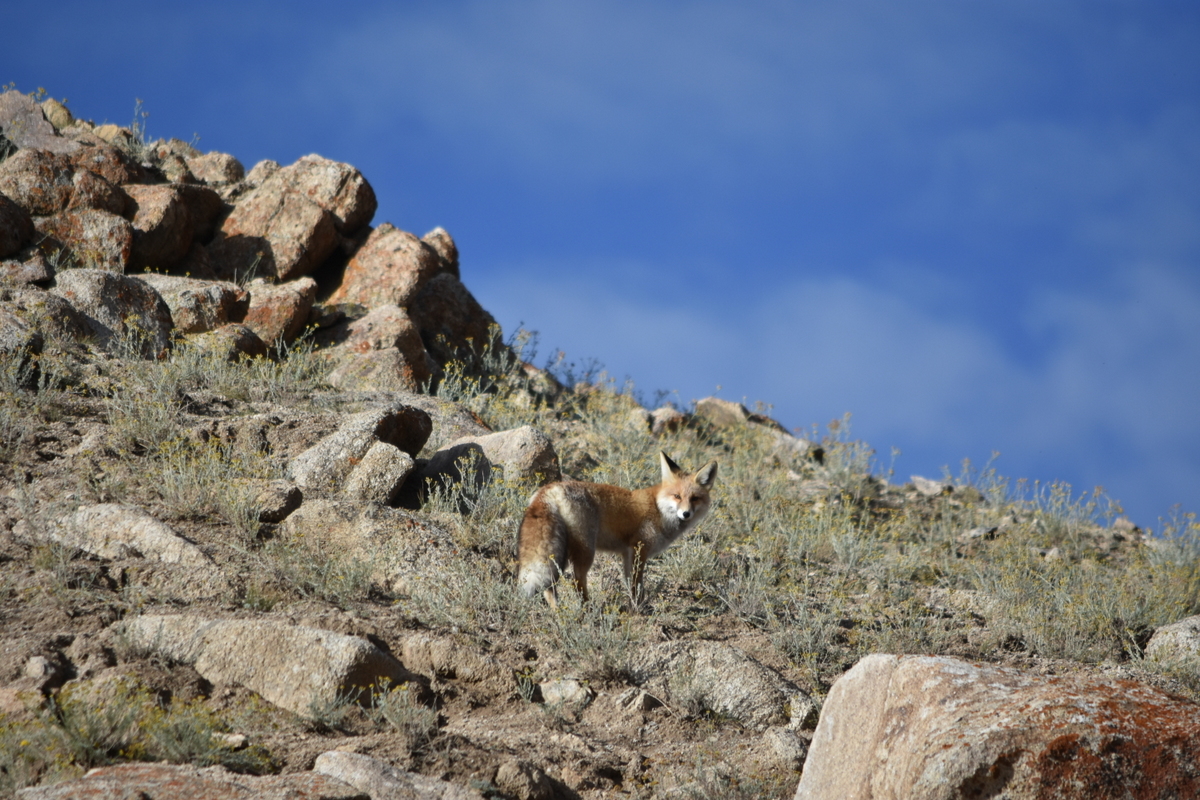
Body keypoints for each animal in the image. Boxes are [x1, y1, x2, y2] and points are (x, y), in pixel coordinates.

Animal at [517, 452, 718, 606]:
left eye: (694, 498)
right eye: (677, 496)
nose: (686, 514)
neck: (658, 508)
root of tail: (549, 489)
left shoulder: (627, 553)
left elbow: (629, 585)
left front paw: (632, 607)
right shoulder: (639, 549)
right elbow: (637, 587)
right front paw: (638, 610)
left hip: (561, 552)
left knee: (550, 587)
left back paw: (558, 613)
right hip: (584, 551)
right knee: (576, 582)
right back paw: (587, 611)